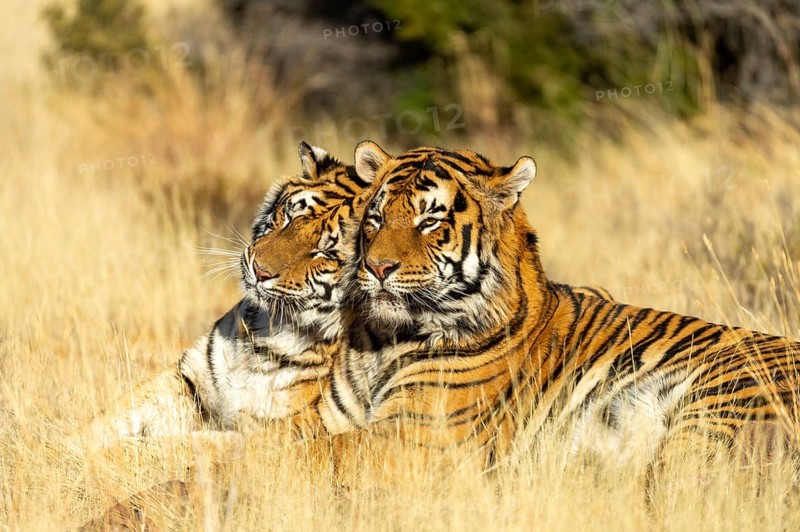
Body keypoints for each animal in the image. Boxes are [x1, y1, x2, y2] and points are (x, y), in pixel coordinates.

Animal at [314, 140, 800, 472]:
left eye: (429, 221)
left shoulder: (418, 435)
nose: (377, 266)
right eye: (376, 219)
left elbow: (315, 451)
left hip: (711, 406)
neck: (384, 341)